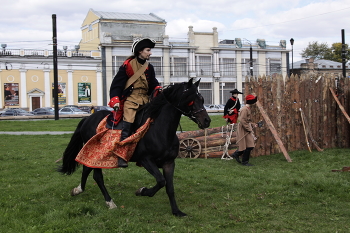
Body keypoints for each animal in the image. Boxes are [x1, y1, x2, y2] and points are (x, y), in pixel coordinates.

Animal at [58, 78, 211, 217]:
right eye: (190, 99)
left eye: (202, 99)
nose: (206, 121)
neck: (160, 130)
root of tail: (87, 119)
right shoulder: (146, 160)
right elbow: (161, 181)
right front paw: (142, 191)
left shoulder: (169, 163)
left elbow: (169, 187)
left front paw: (176, 211)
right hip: (98, 153)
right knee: (97, 176)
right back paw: (109, 202)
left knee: (87, 169)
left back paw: (78, 190)